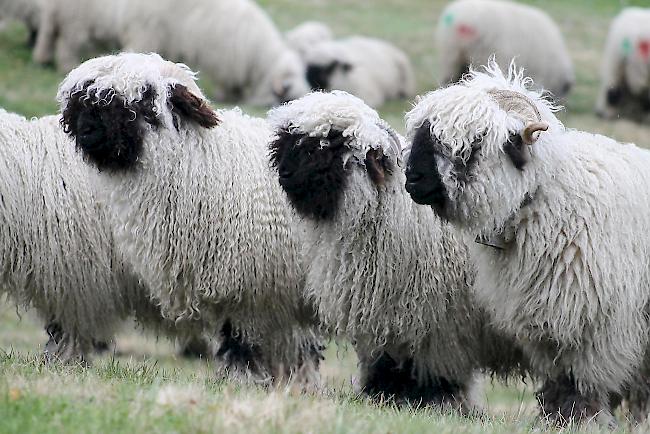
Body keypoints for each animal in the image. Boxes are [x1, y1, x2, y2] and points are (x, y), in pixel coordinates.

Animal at [33, 0, 308, 106]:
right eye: (286, 97)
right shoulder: (146, 31)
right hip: (74, 21)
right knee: (66, 44)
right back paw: (62, 64)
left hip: (57, 14)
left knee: (48, 35)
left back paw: (42, 60)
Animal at [56, 52, 322, 384]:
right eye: (81, 103)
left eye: (143, 103)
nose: (87, 130)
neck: (199, 166)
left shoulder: (252, 288)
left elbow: (243, 339)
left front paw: (242, 378)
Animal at [266, 90, 524, 410]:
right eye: (287, 143)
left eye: (321, 150)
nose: (284, 173)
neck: (392, 213)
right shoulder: (391, 317)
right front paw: (385, 393)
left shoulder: (436, 323)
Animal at [402, 59, 648, 426]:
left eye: (474, 143)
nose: (412, 178)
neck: (548, 196)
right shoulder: (544, 317)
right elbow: (559, 375)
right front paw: (556, 417)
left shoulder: (598, 324)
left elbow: (582, 377)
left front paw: (582, 417)